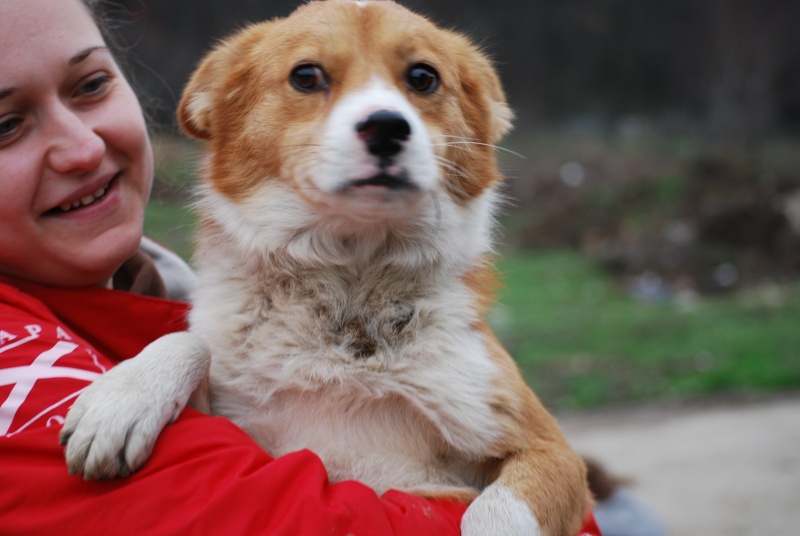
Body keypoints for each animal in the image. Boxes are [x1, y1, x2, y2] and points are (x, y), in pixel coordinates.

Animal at [62, 2, 592, 532]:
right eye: (306, 75)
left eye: (423, 77)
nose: (387, 127)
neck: (351, 296)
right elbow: (192, 341)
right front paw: (123, 396)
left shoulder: (550, 450)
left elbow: (496, 510)